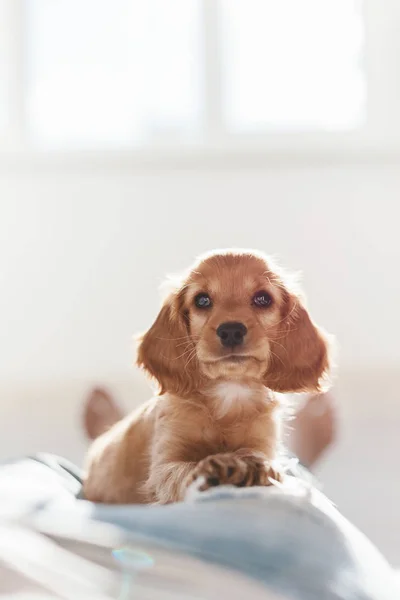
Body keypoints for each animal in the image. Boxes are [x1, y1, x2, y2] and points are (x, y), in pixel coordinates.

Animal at [83, 251, 330, 504]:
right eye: (202, 300)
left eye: (263, 299)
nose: (231, 331)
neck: (229, 393)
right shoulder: (164, 463)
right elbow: (183, 471)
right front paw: (216, 469)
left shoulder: (262, 441)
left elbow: (254, 453)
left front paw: (256, 466)